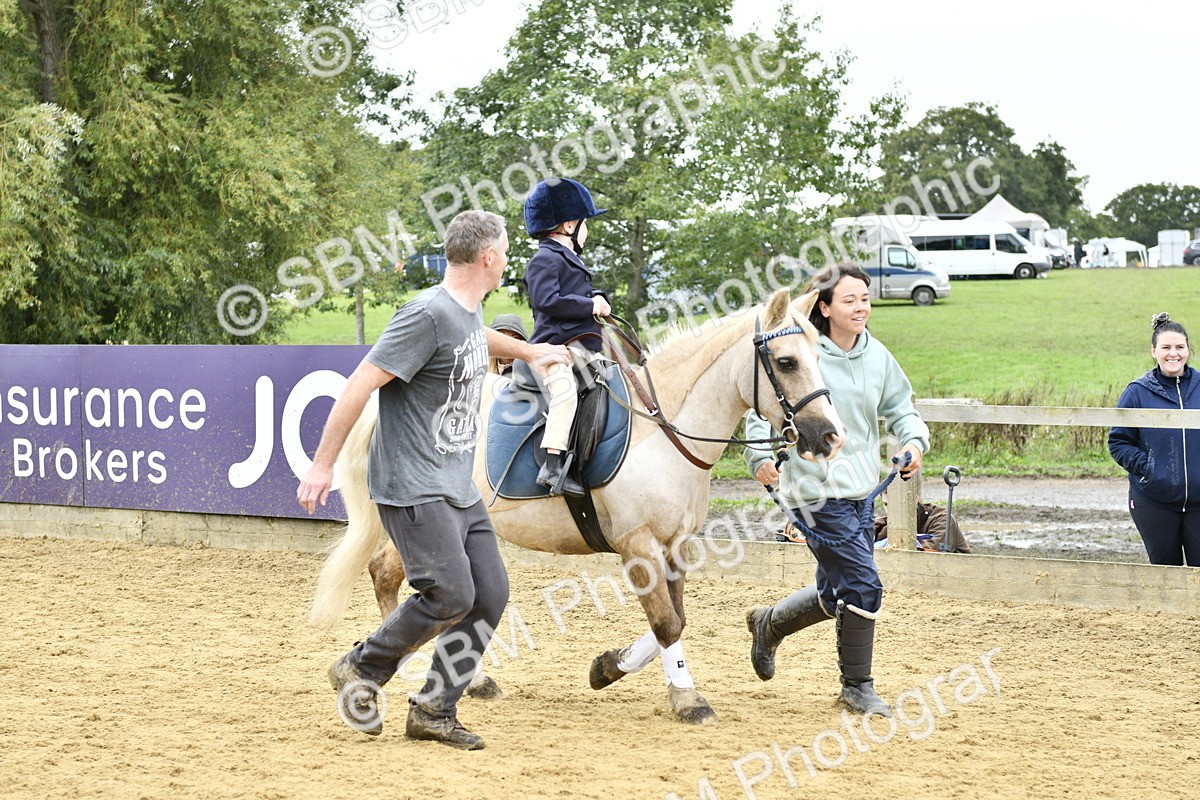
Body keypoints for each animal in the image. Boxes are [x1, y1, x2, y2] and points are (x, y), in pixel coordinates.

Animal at [308, 288, 844, 724]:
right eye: (787, 362)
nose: (829, 437)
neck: (663, 431)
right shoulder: (637, 545)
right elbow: (666, 622)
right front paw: (687, 699)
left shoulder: (676, 545)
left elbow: (674, 619)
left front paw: (608, 667)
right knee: (388, 575)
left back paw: (472, 679)